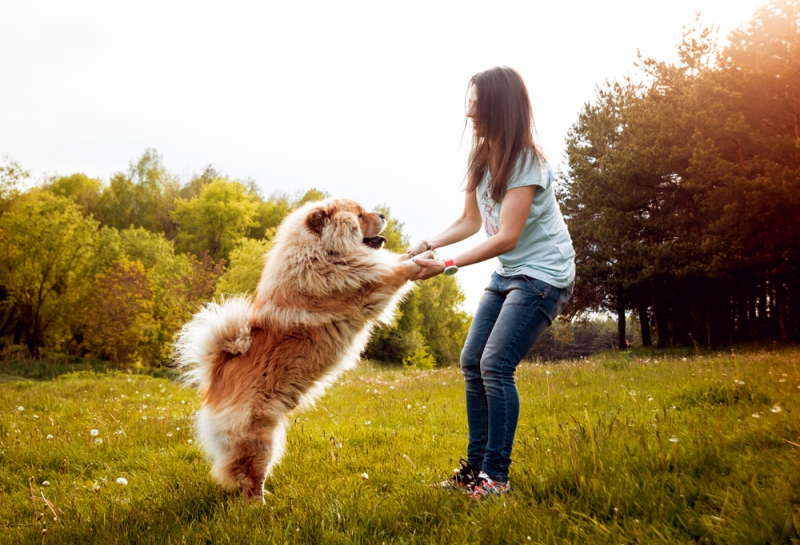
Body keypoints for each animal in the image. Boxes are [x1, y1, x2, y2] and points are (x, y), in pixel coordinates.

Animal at [173, 198, 428, 500]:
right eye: (358, 215)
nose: (383, 214)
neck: (323, 252)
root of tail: (217, 374)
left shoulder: (368, 268)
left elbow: (393, 259)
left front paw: (422, 247)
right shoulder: (368, 285)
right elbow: (397, 270)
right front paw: (425, 261)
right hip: (259, 438)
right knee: (249, 477)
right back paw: (260, 504)